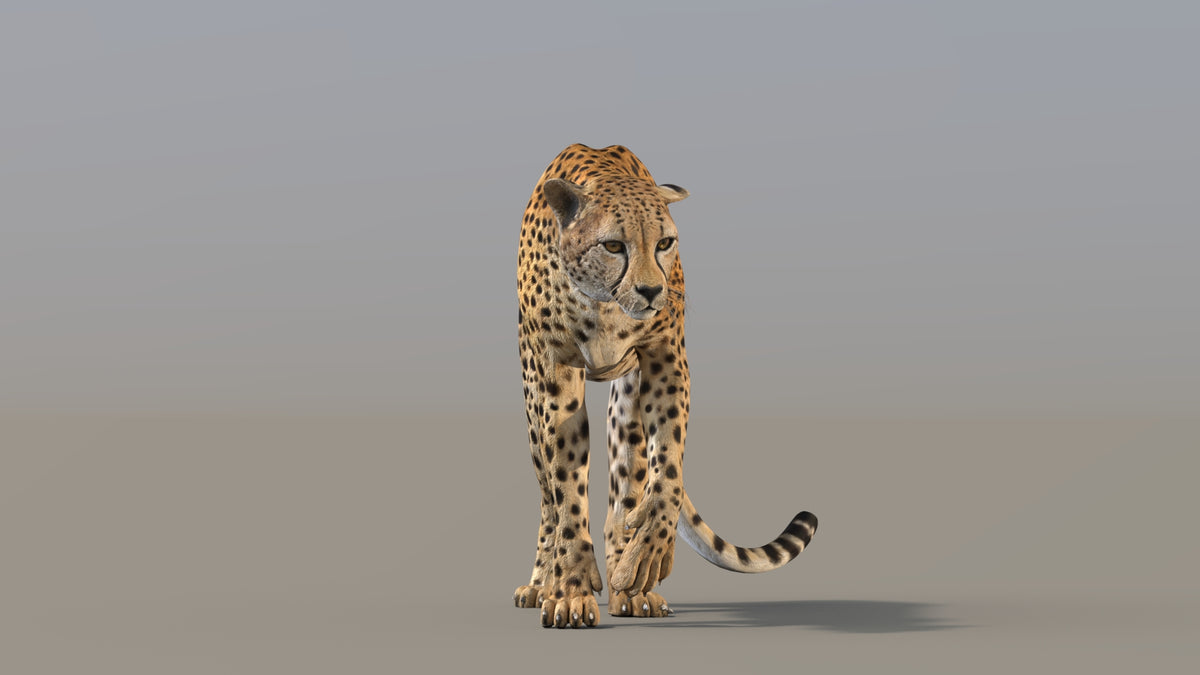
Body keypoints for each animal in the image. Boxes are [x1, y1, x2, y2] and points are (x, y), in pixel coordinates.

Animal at [514, 143, 818, 628]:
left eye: (664, 244)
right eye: (613, 245)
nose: (652, 291)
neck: (604, 304)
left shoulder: (664, 360)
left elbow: (666, 467)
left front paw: (645, 552)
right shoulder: (553, 373)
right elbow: (565, 489)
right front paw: (570, 591)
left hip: (625, 401)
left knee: (627, 479)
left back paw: (629, 584)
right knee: (547, 495)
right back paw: (542, 583)